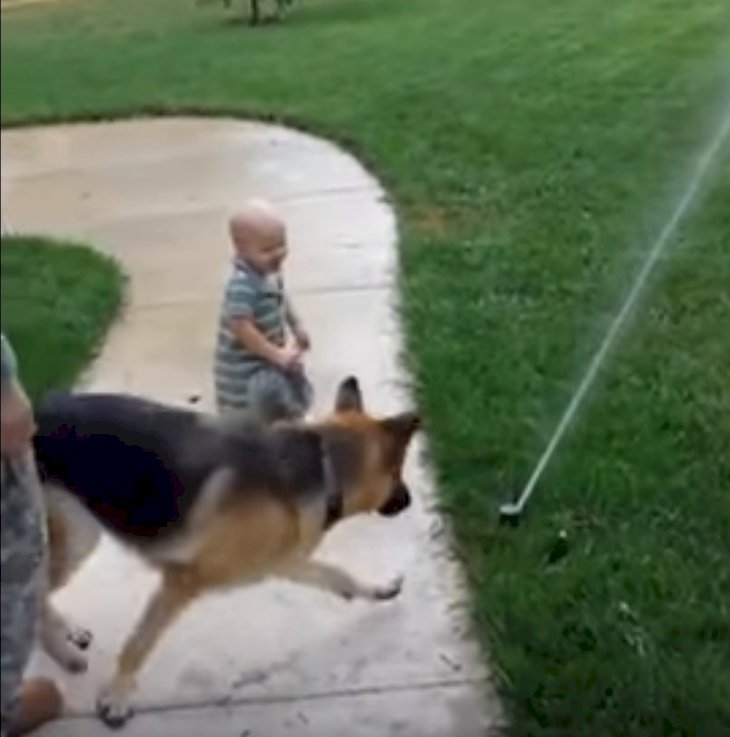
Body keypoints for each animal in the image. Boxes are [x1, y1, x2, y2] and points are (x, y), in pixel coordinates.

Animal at [34, 376, 418, 728]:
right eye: (398, 472)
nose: (410, 501)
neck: (326, 470)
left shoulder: (284, 561)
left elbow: (339, 575)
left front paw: (377, 589)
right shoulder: (181, 582)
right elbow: (138, 644)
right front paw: (117, 695)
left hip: (81, 535)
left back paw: (66, 632)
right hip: (76, 537)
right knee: (35, 593)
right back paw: (62, 651)